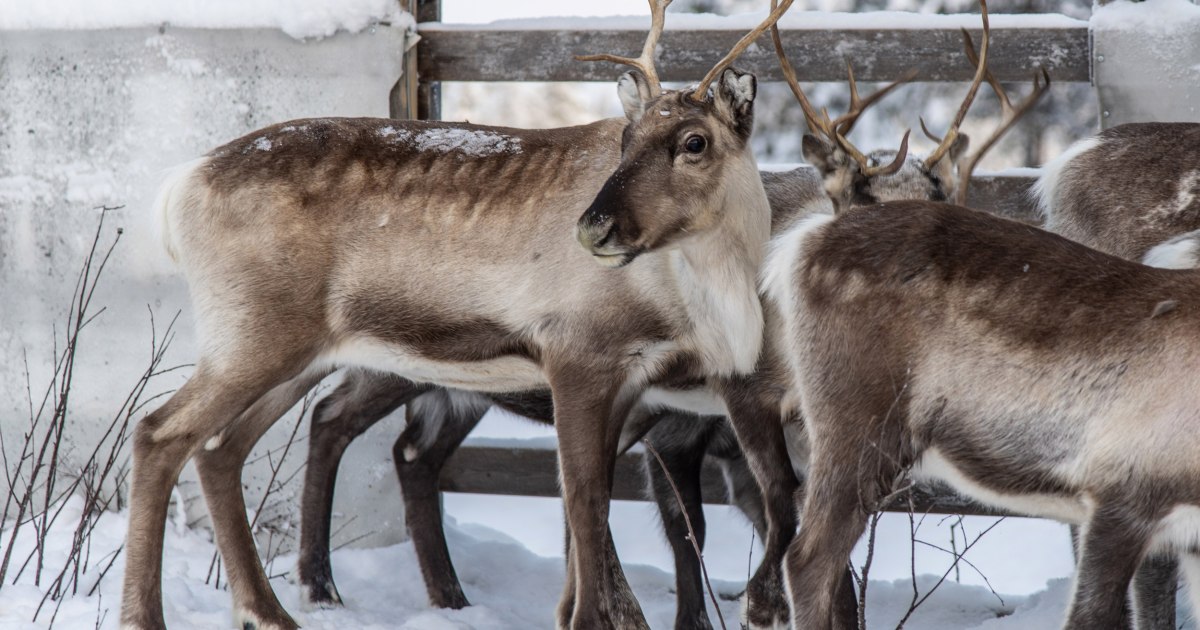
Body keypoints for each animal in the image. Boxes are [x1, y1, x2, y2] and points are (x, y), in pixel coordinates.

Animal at [119, 1, 800, 627]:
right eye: (626, 142)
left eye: (694, 142)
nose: (593, 226)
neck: (705, 293)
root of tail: (180, 187)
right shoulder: (578, 355)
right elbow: (585, 501)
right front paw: (587, 618)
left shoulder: (634, 385)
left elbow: (598, 501)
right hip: (252, 336)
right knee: (159, 433)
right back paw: (151, 614)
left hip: (295, 352)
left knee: (220, 448)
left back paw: (269, 611)